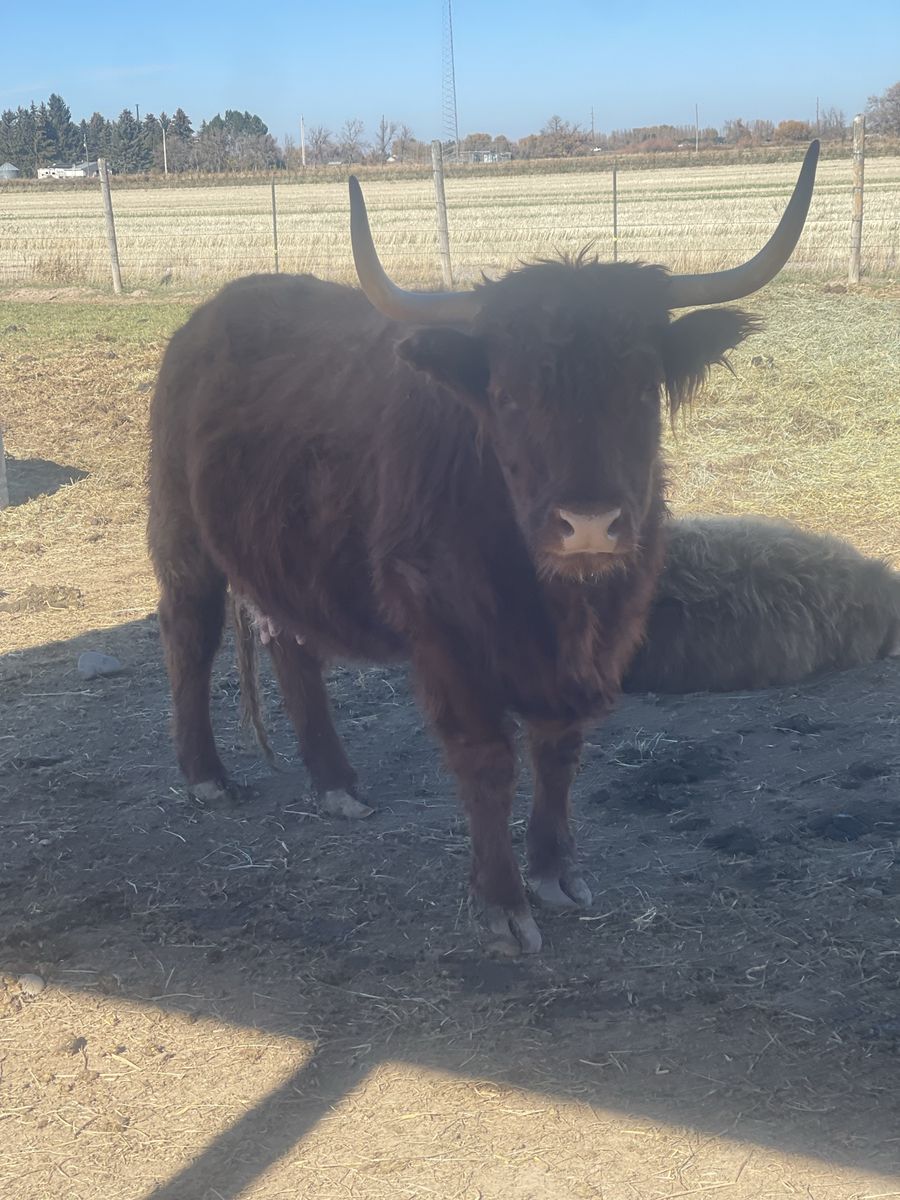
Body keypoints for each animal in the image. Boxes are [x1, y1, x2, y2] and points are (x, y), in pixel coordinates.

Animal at [147, 143, 818, 954]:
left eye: (642, 386)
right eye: (507, 395)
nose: (587, 524)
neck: (551, 600)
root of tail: (210, 317)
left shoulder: (594, 638)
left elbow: (558, 751)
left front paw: (556, 873)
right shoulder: (444, 629)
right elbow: (488, 759)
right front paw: (502, 903)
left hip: (286, 549)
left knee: (293, 647)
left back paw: (337, 784)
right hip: (181, 531)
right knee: (189, 634)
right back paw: (206, 776)